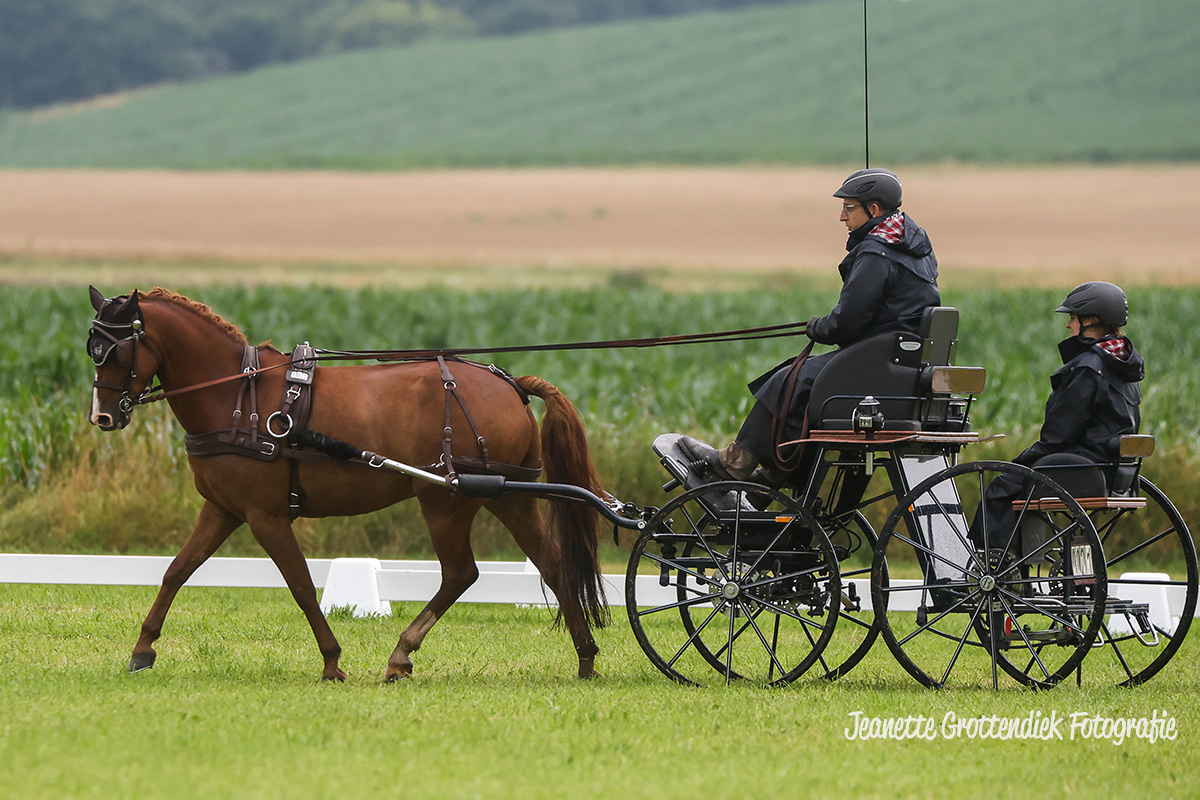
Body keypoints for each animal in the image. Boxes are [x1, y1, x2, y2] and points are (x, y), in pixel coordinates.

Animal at [88, 287, 609, 681]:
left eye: (112, 350)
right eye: (92, 348)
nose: (102, 417)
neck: (237, 397)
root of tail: (511, 384)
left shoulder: (265, 516)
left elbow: (300, 584)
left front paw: (332, 662)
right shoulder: (224, 510)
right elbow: (177, 570)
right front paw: (142, 650)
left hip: (446, 500)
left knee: (462, 573)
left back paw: (401, 654)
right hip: (508, 499)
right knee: (554, 565)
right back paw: (585, 658)